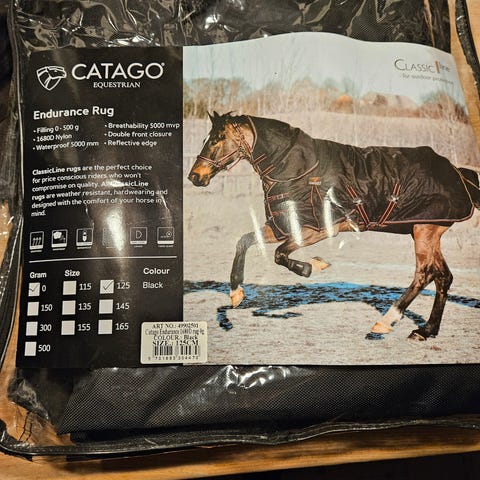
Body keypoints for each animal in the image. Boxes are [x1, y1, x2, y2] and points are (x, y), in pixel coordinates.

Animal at [188, 112, 480, 340]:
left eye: (216, 139)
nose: (195, 176)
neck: (298, 169)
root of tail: (458, 173)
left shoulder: (315, 230)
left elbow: (280, 255)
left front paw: (312, 267)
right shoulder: (282, 225)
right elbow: (244, 241)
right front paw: (236, 294)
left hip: (424, 230)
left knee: (424, 273)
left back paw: (385, 322)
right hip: (427, 232)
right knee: (443, 276)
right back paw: (425, 330)